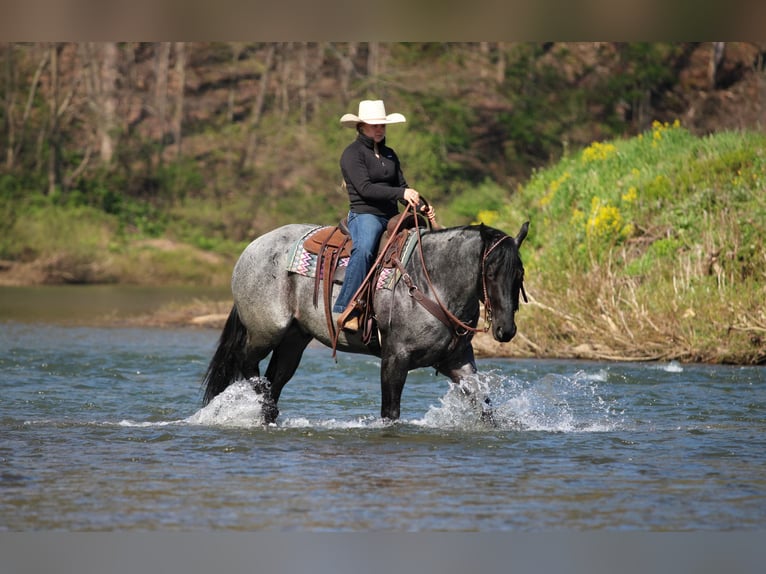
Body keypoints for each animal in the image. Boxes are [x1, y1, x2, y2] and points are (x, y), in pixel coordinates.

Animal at [201, 219, 529, 424]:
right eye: (490, 272)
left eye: (519, 274)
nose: (506, 330)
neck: (431, 281)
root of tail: (251, 249)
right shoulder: (395, 358)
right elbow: (390, 412)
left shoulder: (457, 360)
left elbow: (485, 407)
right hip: (265, 332)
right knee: (247, 363)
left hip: (294, 340)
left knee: (274, 380)